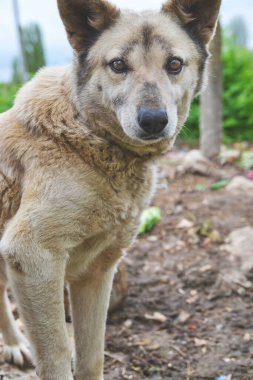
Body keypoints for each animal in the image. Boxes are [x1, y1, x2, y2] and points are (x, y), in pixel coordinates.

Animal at [0, 1, 221, 378]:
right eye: (118, 65)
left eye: (174, 64)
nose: (153, 120)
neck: (89, 134)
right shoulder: (32, 256)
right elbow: (58, 355)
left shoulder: (96, 271)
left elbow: (92, 356)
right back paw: (16, 345)